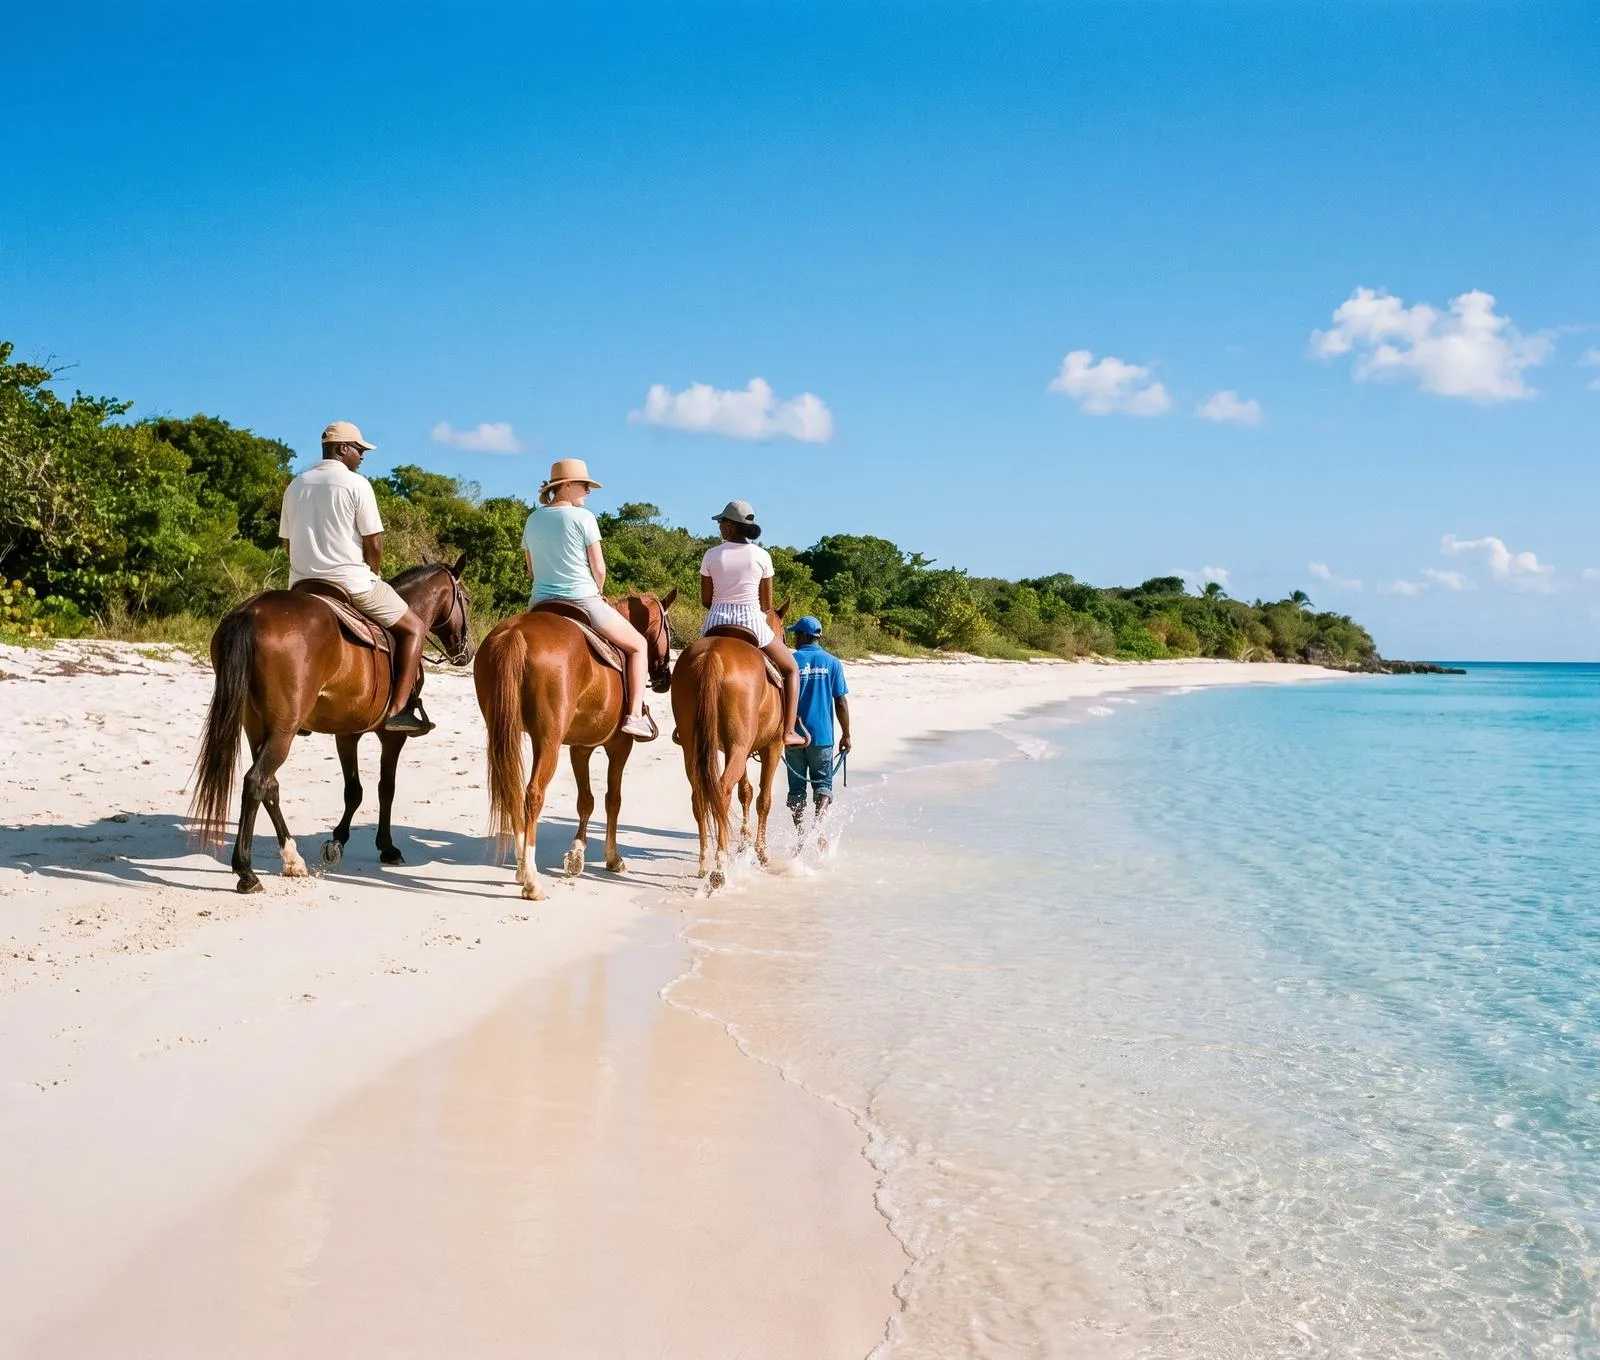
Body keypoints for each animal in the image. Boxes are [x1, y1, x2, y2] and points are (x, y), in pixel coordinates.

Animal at [189, 558, 474, 893]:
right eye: (466, 599)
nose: (467, 652)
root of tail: (251, 612)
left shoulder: (346, 733)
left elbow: (354, 790)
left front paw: (338, 840)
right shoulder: (391, 738)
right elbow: (385, 788)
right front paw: (386, 847)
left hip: (255, 725)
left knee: (270, 785)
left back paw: (292, 859)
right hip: (283, 730)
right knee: (256, 782)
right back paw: (246, 871)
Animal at [474, 590, 677, 900]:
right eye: (670, 630)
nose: (665, 678)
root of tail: (516, 632)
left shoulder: (579, 748)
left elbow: (586, 801)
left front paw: (577, 853)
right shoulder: (619, 747)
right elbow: (612, 800)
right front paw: (612, 857)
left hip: (504, 732)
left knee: (512, 792)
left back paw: (521, 867)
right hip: (548, 741)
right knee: (533, 794)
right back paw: (531, 879)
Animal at [669, 603, 788, 890]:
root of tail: (713, 654)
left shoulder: (736, 749)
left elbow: (745, 791)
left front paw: (745, 842)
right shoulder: (773, 746)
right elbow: (764, 799)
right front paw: (760, 852)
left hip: (695, 746)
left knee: (700, 794)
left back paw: (704, 863)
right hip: (741, 746)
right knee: (722, 790)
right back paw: (719, 868)